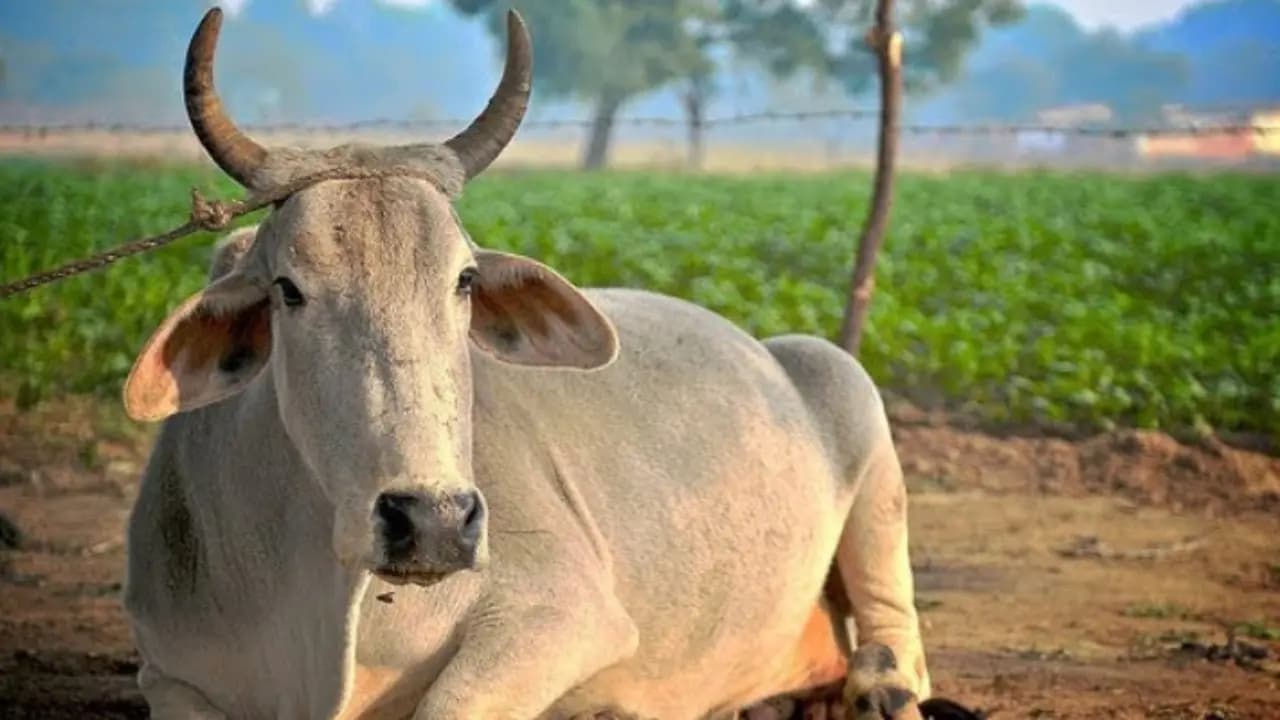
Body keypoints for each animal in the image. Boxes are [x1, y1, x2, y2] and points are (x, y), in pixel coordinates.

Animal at [120, 7, 930, 719]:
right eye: (288, 289)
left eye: (464, 281)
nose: (433, 522)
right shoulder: (170, 675)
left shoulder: (562, 614)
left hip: (849, 394)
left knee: (896, 639)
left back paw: (878, 688)